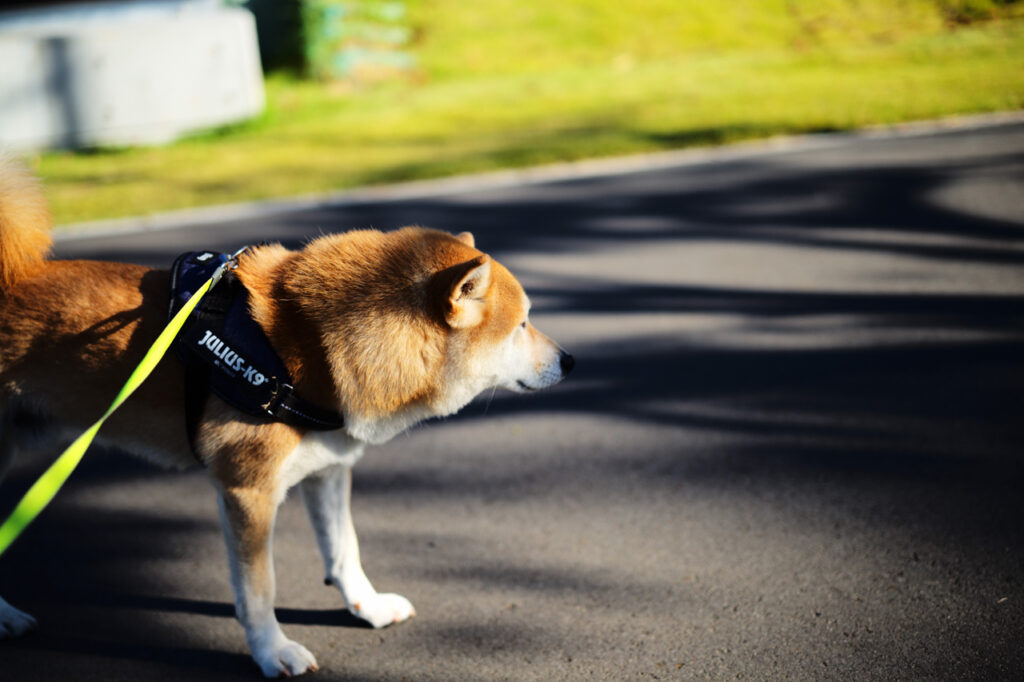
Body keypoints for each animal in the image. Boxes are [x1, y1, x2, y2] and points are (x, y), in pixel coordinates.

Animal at [0, 159, 573, 675]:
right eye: (523, 324)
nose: (571, 361)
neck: (312, 349)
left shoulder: (329, 470)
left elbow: (345, 551)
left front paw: (367, 608)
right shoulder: (247, 492)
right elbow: (259, 590)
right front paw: (271, 652)